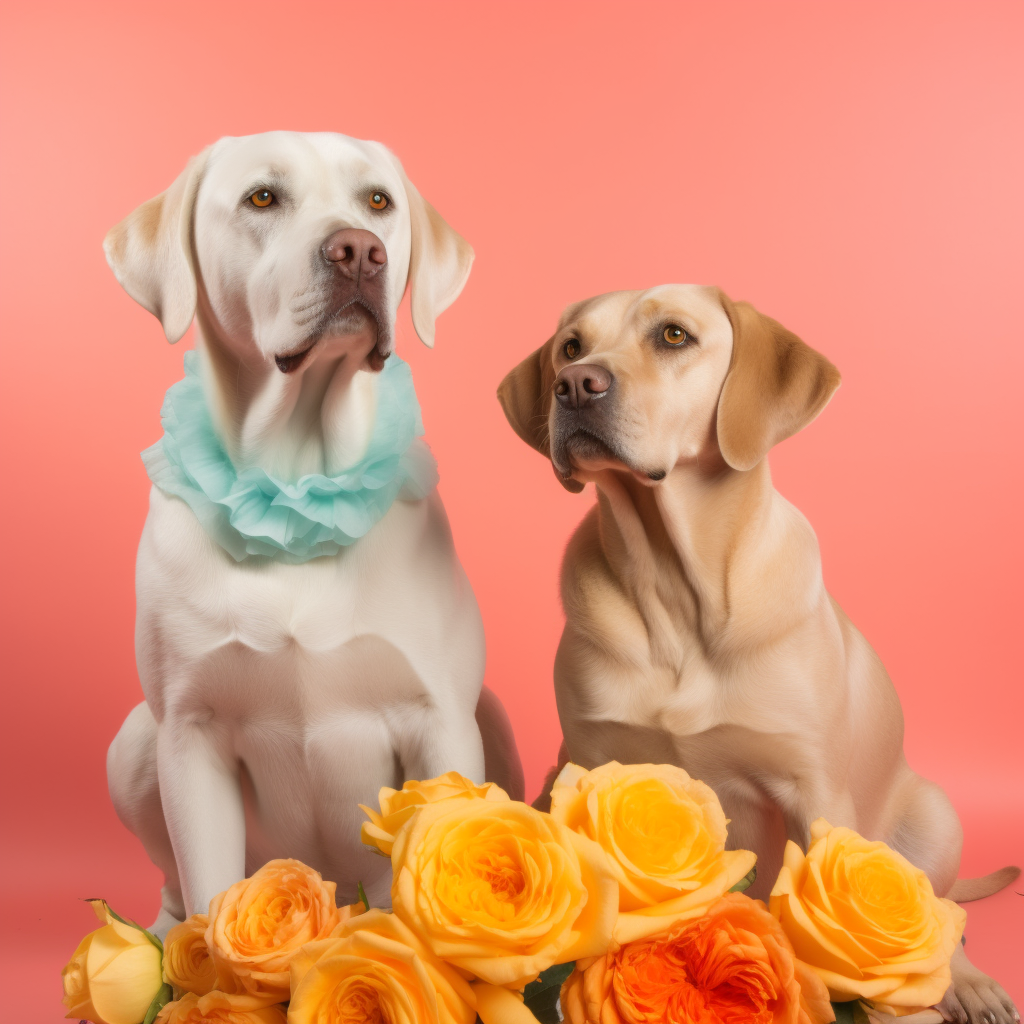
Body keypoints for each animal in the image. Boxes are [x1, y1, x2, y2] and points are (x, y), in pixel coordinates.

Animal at [104, 130, 524, 937]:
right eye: (262, 197)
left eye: (379, 201)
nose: (359, 251)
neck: (296, 486)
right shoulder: (190, 736)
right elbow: (208, 893)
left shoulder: (442, 723)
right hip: (135, 742)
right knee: (173, 886)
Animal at [497, 286, 1015, 1024]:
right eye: (571, 347)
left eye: (674, 336)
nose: (574, 384)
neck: (676, 593)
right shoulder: (589, 769)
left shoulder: (813, 792)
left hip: (935, 819)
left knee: (943, 920)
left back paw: (970, 983)